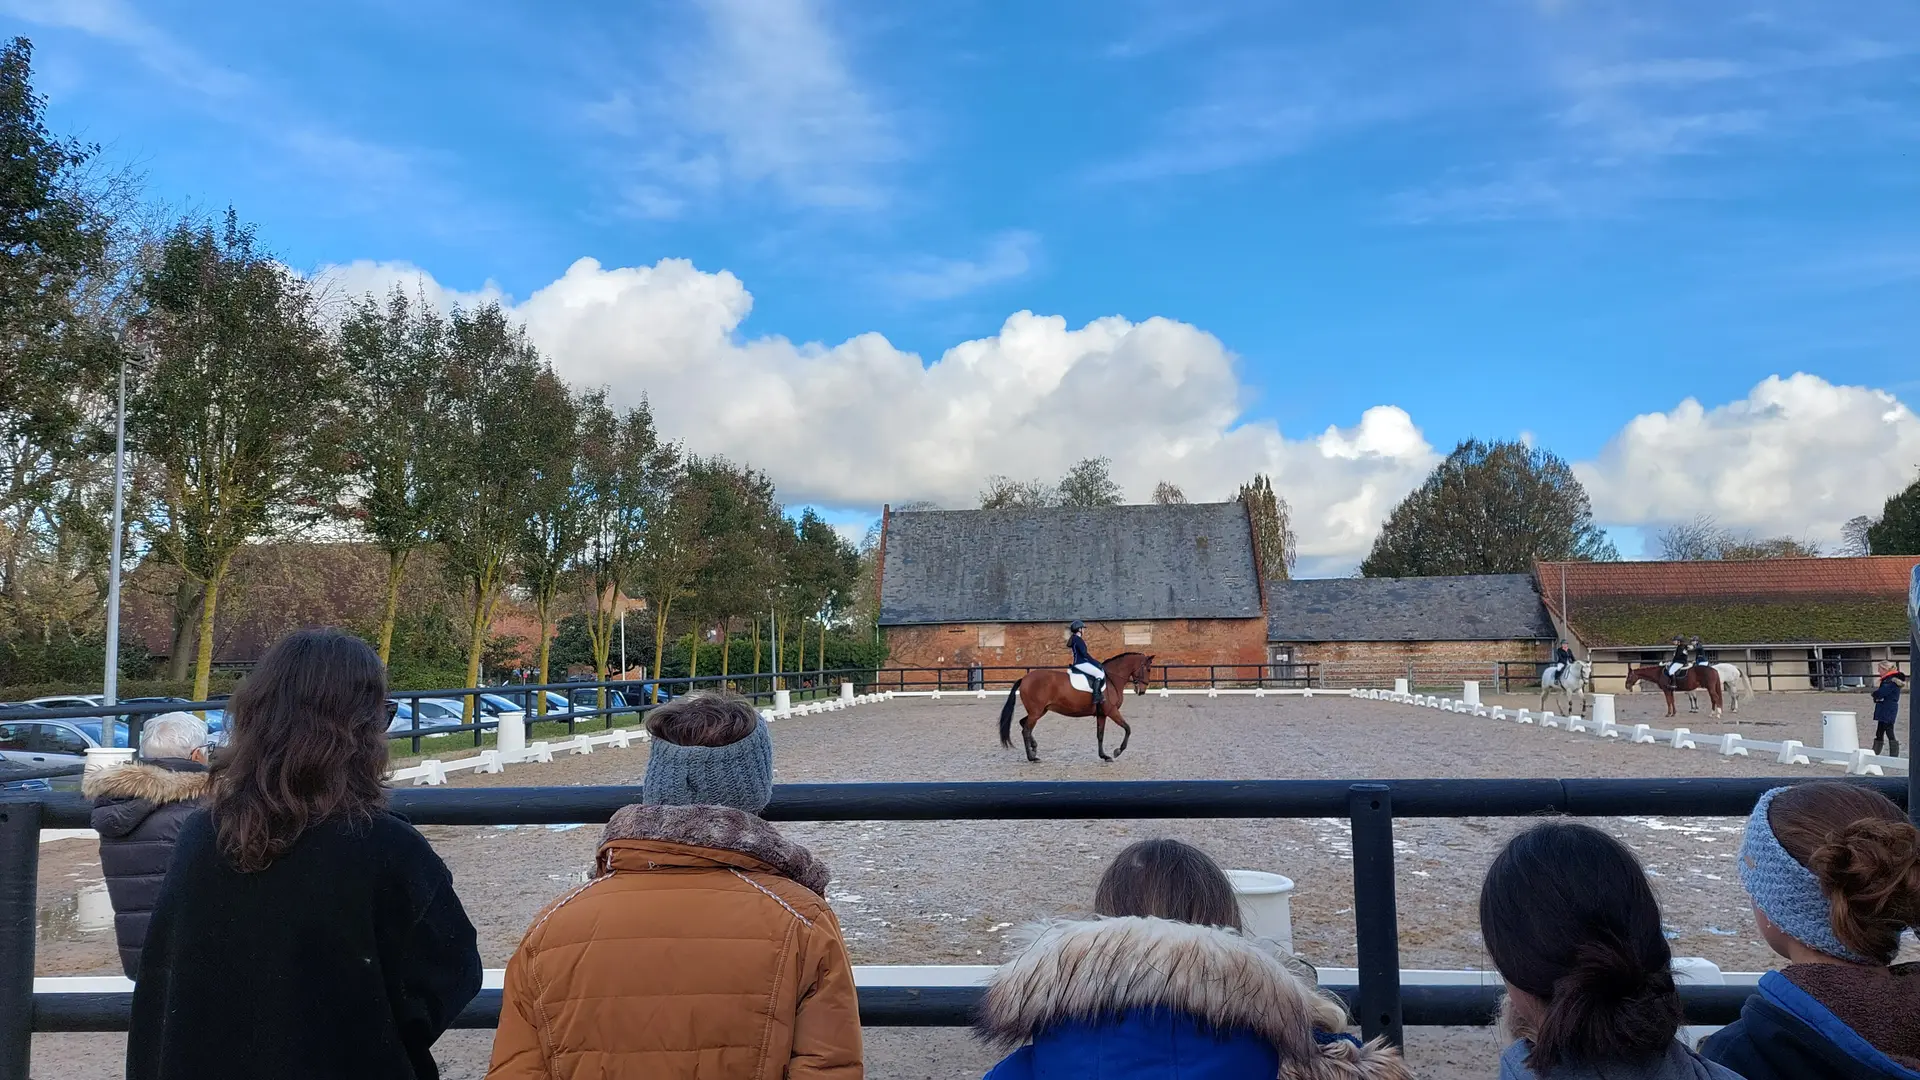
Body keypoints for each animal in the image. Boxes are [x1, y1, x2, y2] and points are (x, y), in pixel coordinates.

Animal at [1006, 653, 1152, 760]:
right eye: (1148, 669)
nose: (1142, 691)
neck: (1112, 680)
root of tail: (1025, 679)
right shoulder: (1112, 711)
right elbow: (1128, 728)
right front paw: (1118, 751)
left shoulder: (1102, 714)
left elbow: (1100, 735)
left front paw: (1104, 756)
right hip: (1036, 712)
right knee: (1026, 730)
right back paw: (1031, 757)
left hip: (1040, 711)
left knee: (1023, 723)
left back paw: (1034, 748)